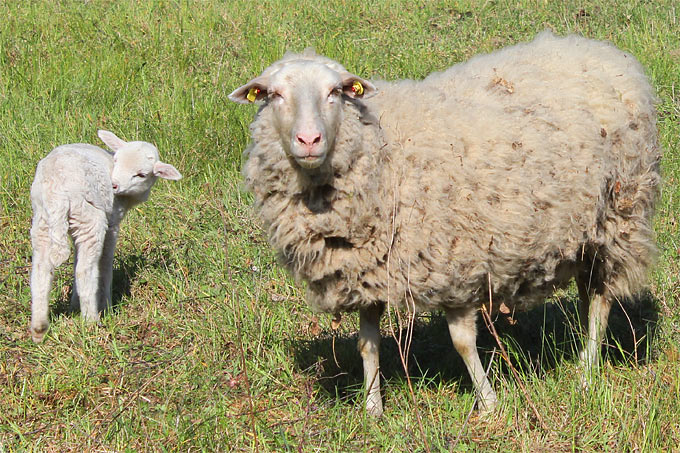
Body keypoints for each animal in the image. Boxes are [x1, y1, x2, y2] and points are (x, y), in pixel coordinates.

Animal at [29, 131, 181, 342]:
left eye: (141, 174)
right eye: (116, 160)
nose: (114, 185)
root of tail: (56, 194)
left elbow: (75, 260)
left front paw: (74, 304)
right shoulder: (112, 223)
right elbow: (105, 263)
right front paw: (107, 305)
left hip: (43, 220)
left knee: (41, 270)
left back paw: (39, 329)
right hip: (90, 217)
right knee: (85, 270)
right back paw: (92, 322)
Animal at [231, 30, 660, 414]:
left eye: (335, 92)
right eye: (272, 95)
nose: (309, 140)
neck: (381, 151)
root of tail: (600, 49)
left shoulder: (456, 263)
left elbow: (462, 342)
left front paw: (489, 402)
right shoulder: (368, 270)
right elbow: (368, 342)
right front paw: (372, 408)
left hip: (619, 213)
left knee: (602, 297)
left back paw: (587, 371)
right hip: (586, 230)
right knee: (589, 292)